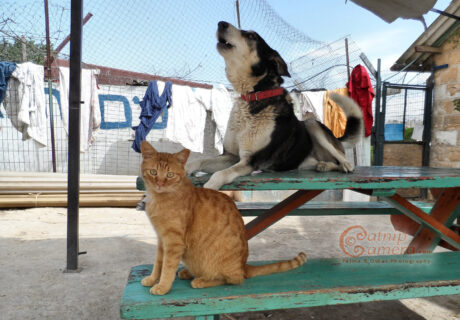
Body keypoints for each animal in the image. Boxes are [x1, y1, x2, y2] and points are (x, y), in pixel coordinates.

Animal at [140, 141, 306, 296]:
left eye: (170, 175)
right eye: (153, 172)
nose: (159, 183)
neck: (158, 199)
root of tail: (243, 265)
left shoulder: (173, 243)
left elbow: (167, 268)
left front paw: (163, 286)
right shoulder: (162, 240)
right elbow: (158, 263)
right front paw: (153, 279)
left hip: (218, 264)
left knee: (232, 279)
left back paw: (201, 280)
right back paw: (188, 272)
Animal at [186, 21, 362, 190]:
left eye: (251, 36)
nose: (220, 23)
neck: (254, 96)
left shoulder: (250, 160)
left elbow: (220, 174)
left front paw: (208, 188)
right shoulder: (230, 156)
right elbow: (198, 161)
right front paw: (185, 169)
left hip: (311, 123)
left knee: (343, 159)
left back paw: (344, 165)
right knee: (329, 163)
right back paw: (323, 165)